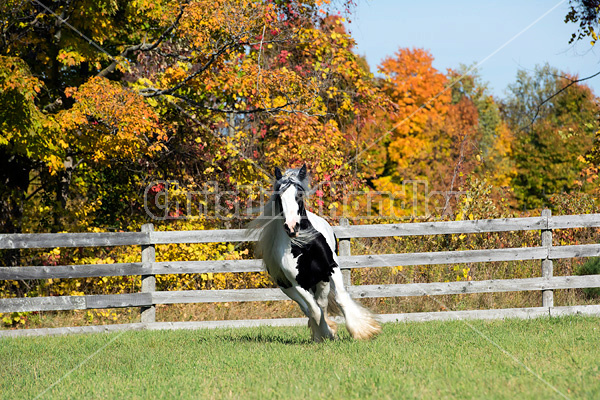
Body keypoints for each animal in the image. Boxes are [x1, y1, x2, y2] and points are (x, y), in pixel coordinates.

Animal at [248, 164, 380, 342]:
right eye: (279, 197)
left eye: (299, 194)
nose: (292, 227)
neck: (304, 246)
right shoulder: (297, 284)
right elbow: (314, 311)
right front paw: (325, 333)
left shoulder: (331, 268)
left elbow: (339, 298)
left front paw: (363, 331)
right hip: (289, 288)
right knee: (310, 308)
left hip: (322, 281)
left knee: (322, 303)